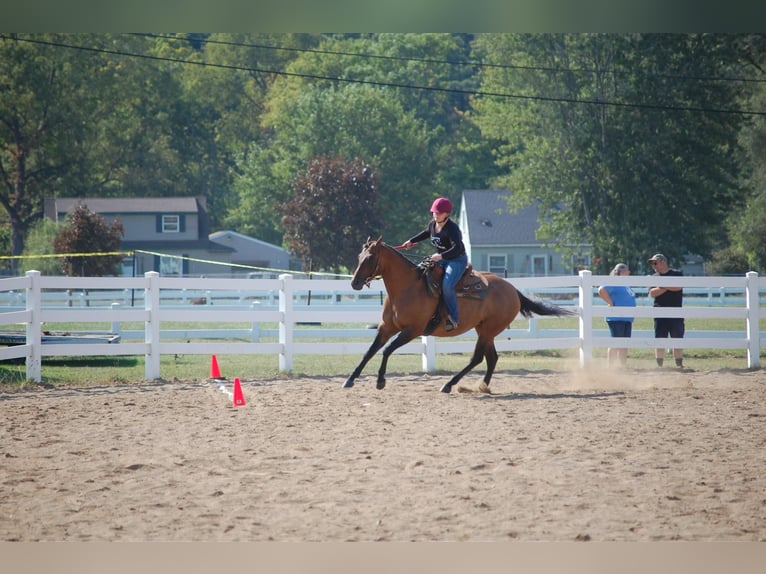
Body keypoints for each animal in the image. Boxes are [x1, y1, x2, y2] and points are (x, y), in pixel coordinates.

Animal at [344, 238, 576, 396]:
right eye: (358, 257)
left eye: (370, 258)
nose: (355, 283)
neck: (407, 288)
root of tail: (512, 289)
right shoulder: (386, 327)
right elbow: (369, 351)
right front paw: (350, 379)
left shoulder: (412, 330)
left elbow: (386, 351)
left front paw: (380, 381)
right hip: (485, 330)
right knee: (491, 358)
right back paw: (482, 386)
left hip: (488, 331)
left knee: (477, 358)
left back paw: (448, 385)